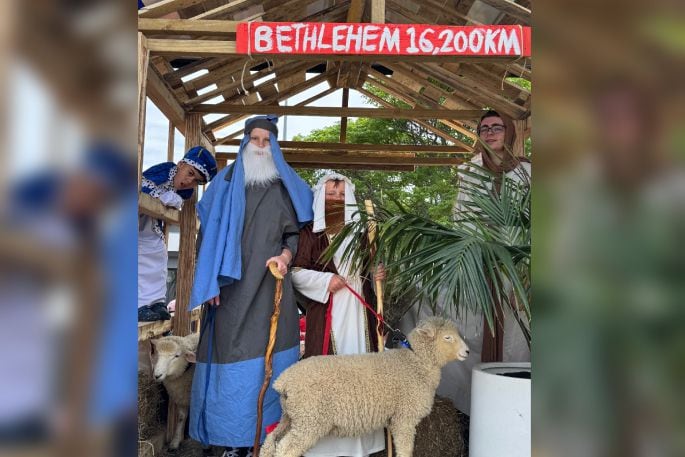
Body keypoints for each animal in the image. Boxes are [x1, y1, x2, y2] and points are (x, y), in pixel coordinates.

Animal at [260, 318, 468, 456]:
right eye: (447, 337)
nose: (466, 352)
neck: (415, 361)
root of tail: (283, 380)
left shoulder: (396, 419)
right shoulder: (404, 418)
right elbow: (406, 450)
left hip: (292, 417)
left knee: (271, 443)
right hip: (309, 420)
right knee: (285, 449)